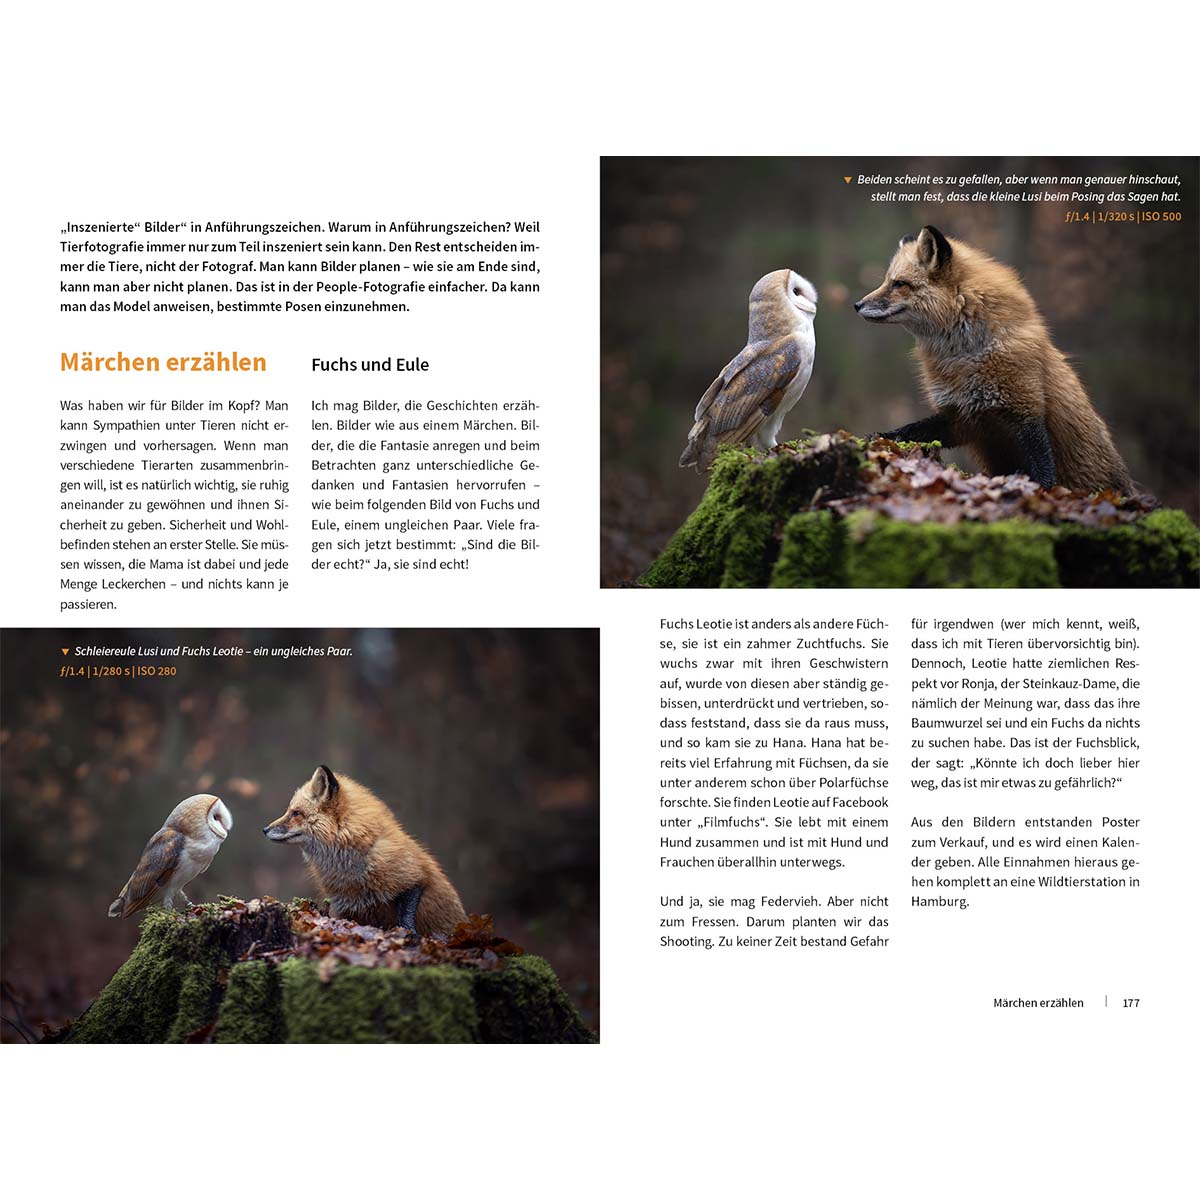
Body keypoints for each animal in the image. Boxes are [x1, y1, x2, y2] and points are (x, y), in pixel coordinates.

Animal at [263, 765, 467, 935]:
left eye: (295, 813)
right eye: (289, 811)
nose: (264, 829)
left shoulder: (414, 878)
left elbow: (405, 918)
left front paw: (409, 934)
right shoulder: (346, 908)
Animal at [854, 225, 1132, 494]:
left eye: (899, 284)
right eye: (887, 281)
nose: (856, 305)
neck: (966, 359)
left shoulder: (1025, 412)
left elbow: (1043, 470)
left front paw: (1042, 492)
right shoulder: (961, 417)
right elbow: (907, 432)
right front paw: (875, 439)